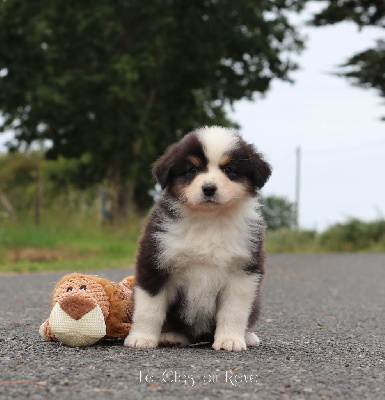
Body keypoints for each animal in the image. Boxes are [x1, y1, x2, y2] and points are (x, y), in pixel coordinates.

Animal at [124, 126, 272, 350]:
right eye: (192, 170)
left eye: (229, 170)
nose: (209, 188)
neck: (208, 220)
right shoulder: (154, 260)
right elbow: (149, 307)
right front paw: (142, 337)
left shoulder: (242, 270)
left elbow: (234, 311)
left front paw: (230, 340)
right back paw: (171, 336)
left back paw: (248, 336)